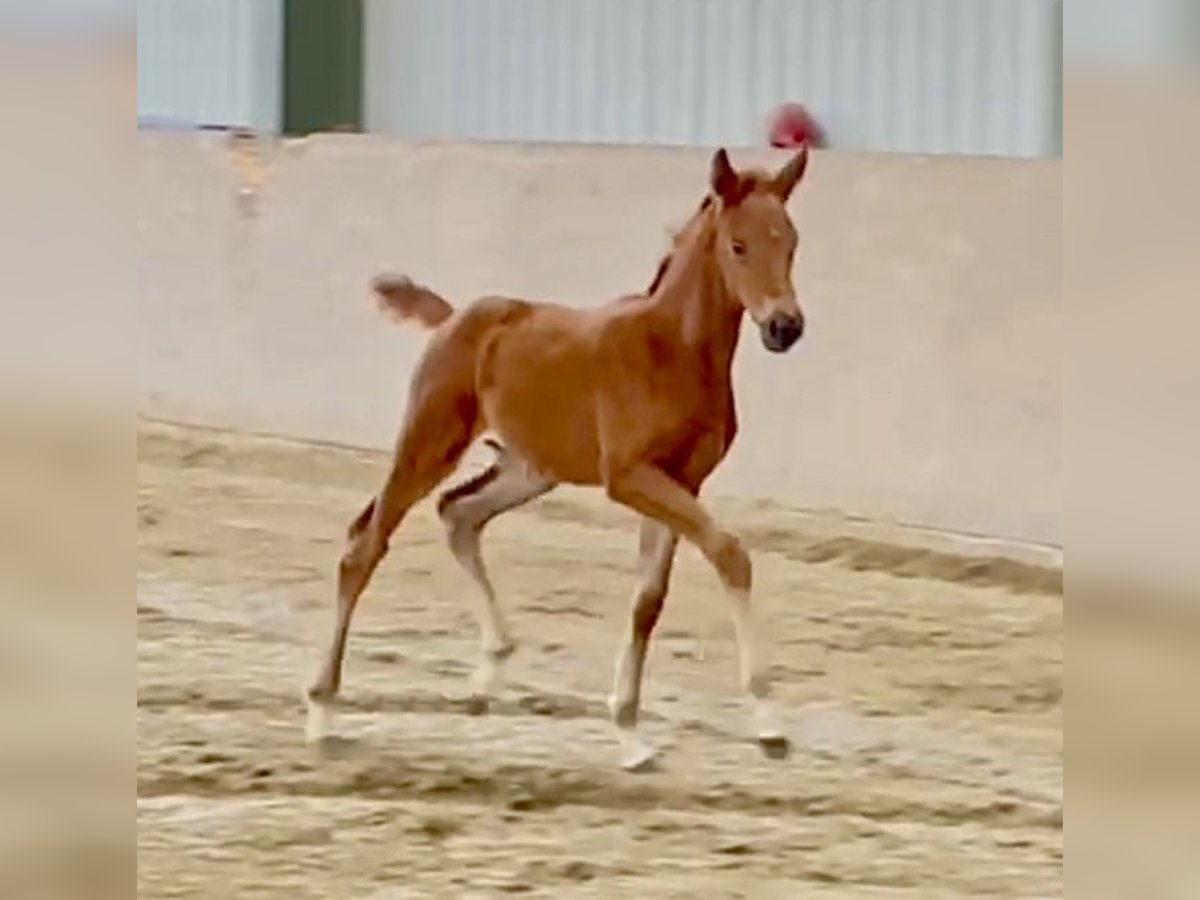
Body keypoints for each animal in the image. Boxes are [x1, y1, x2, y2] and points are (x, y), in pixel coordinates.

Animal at [309, 150, 811, 777]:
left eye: (790, 242)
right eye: (738, 245)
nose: (786, 327)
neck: (672, 350)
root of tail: (455, 317)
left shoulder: (683, 480)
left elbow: (648, 600)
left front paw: (629, 734)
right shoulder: (630, 477)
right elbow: (730, 553)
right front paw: (769, 724)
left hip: (530, 468)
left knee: (458, 513)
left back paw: (488, 673)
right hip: (427, 444)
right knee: (365, 547)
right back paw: (323, 711)